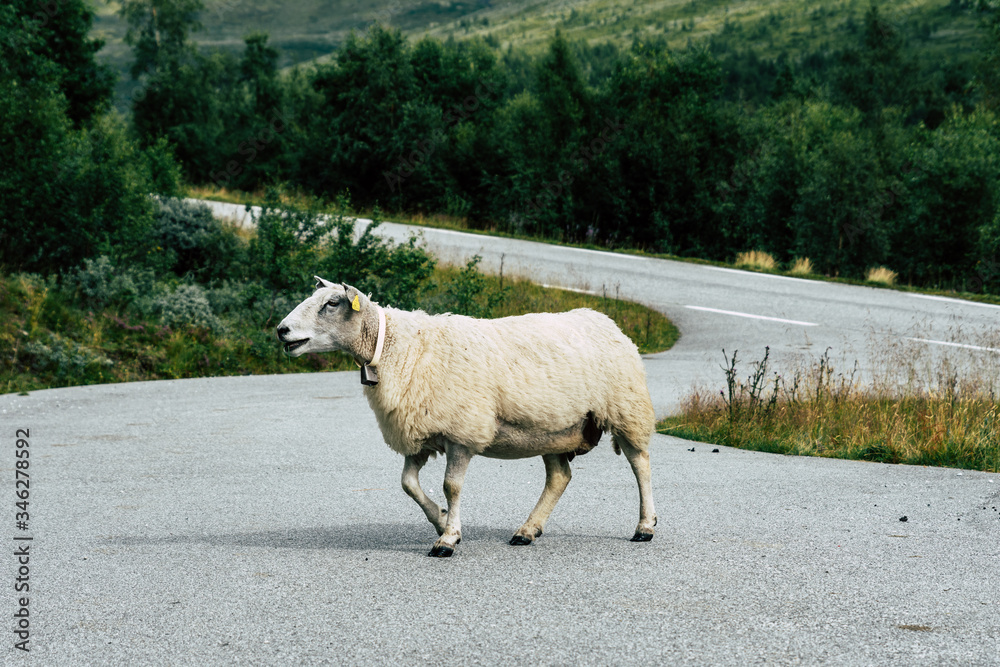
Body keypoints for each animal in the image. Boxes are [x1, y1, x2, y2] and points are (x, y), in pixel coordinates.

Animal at [276, 276, 657, 557]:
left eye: (331, 303)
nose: (282, 330)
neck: (398, 347)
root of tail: (605, 319)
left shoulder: (460, 432)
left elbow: (451, 486)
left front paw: (447, 539)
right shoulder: (421, 433)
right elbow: (408, 484)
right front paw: (441, 520)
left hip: (626, 409)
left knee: (640, 464)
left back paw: (644, 526)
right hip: (553, 428)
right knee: (559, 477)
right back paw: (527, 531)